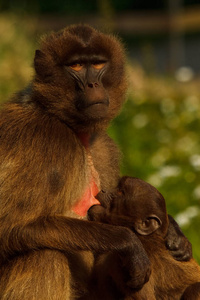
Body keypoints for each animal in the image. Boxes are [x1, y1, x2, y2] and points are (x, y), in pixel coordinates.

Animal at [0, 24, 192, 298]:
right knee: (44, 254)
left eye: (98, 63)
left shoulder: (103, 146)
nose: (92, 84)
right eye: (77, 66)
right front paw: (127, 242)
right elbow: (9, 229)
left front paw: (175, 233)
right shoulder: (38, 141)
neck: (71, 127)